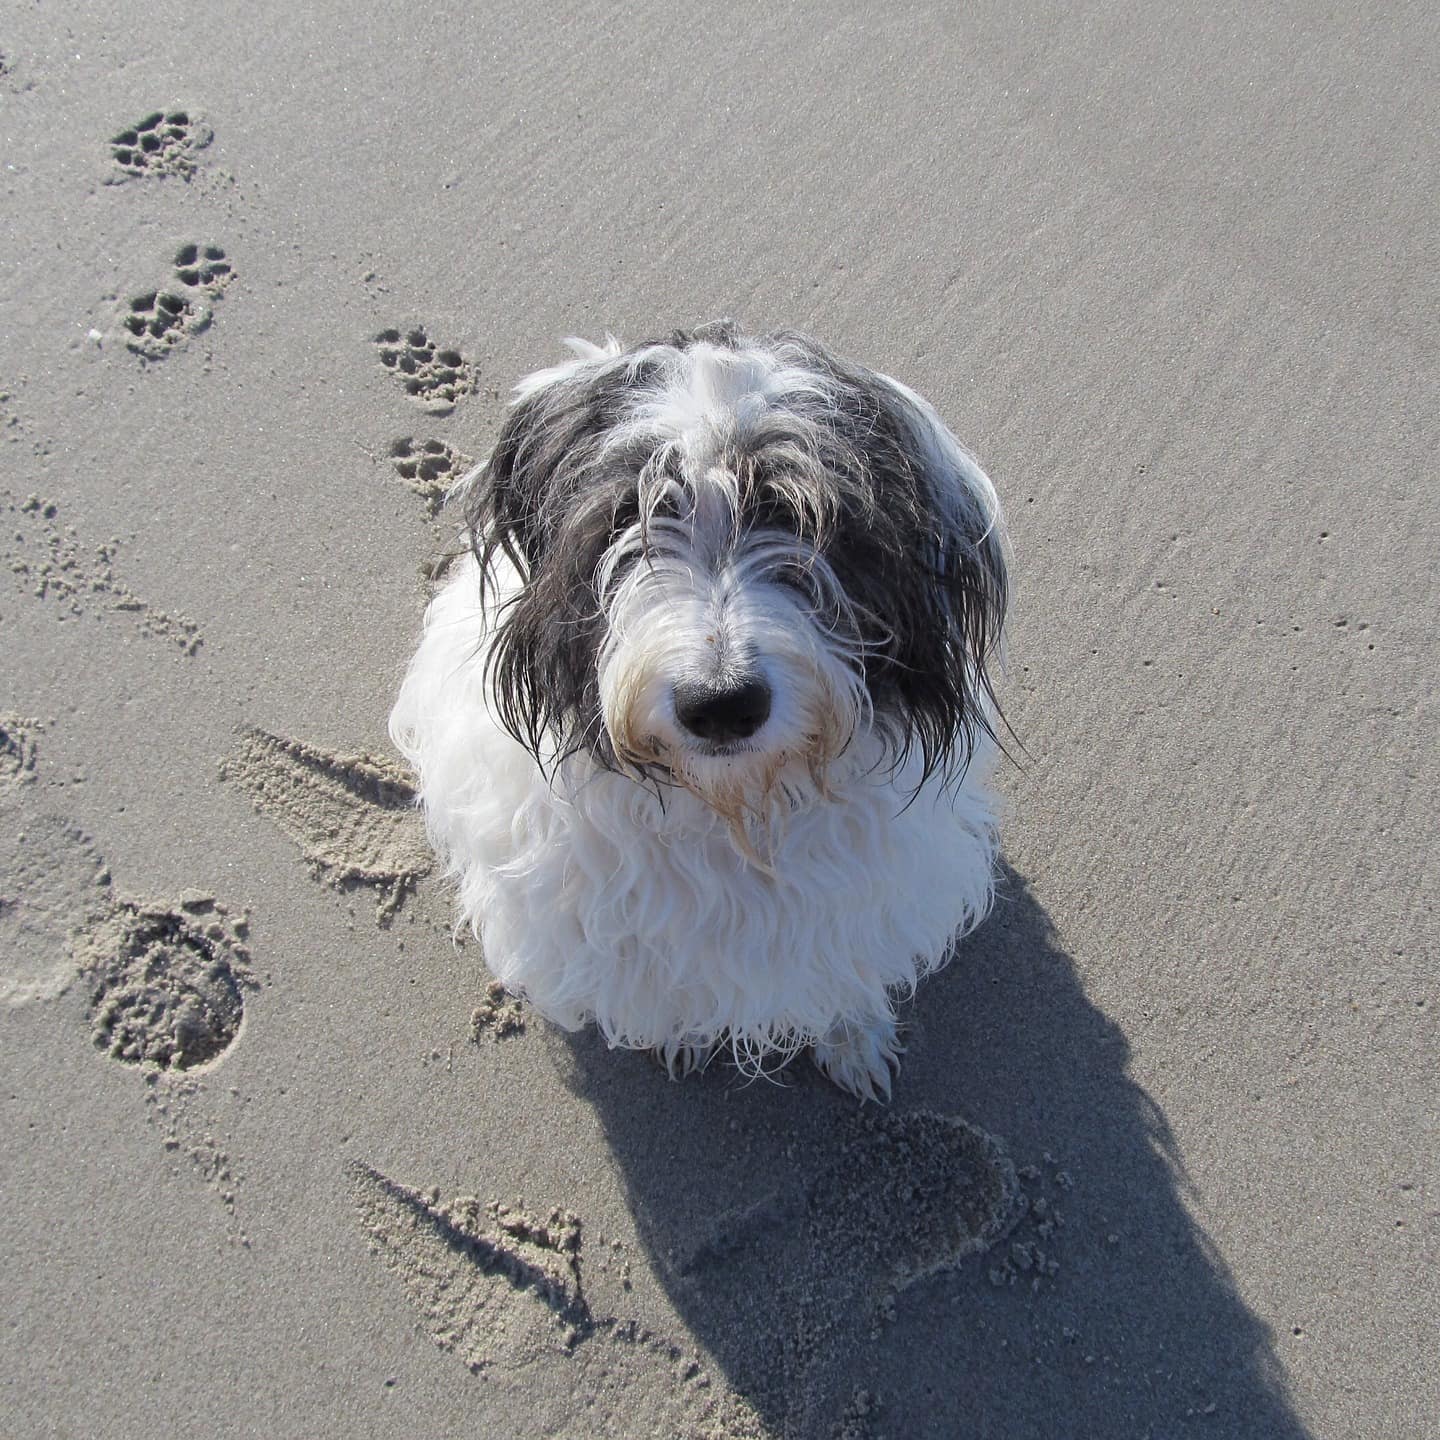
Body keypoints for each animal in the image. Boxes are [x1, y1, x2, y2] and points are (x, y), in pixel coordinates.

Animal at [388, 321, 1008, 1094]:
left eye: (797, 515)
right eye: (627, 515)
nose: (721, 706)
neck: (735, 807)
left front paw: (854, 1036)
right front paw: (680, 1039)